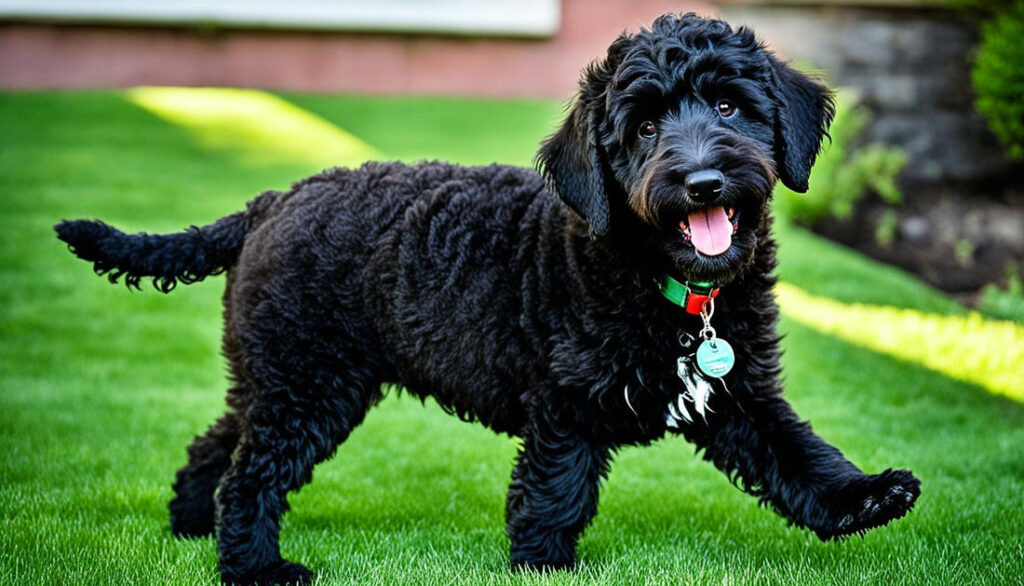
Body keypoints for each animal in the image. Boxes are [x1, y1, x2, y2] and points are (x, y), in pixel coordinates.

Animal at [56, 13, 921, 586]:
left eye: (732, 106)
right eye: (643, 129)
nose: (703, 181)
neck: (665, 284)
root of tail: (271, 201)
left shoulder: (736, 393)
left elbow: (799, 455)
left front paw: (866, 497)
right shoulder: (566, 407)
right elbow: (555, 492)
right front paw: (543, 566)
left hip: (281, 373)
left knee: (219, 442)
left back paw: (189, 523)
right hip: (309, 386)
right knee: (252, 475)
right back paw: (255, 568)